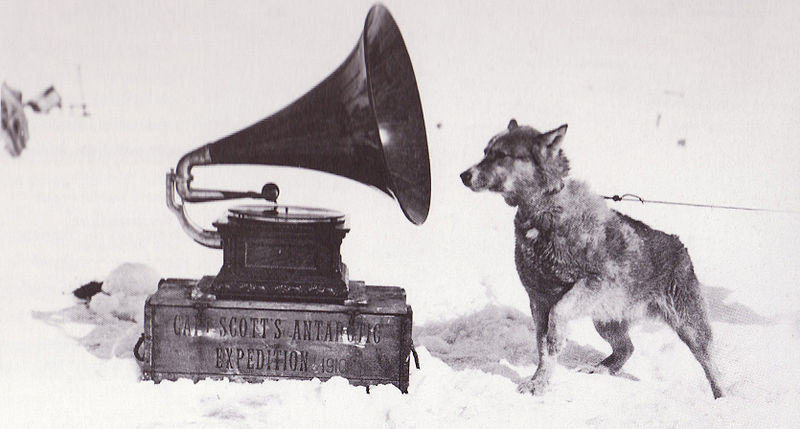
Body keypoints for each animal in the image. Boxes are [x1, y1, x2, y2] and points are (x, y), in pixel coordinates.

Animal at [460, 118, 720, 396]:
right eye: (486, 152)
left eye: (501, 155)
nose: (464, 175)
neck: (544, 212)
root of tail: (679, 245)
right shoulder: (538, 300)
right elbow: (543, 348)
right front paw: (539, 381)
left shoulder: (591, 283)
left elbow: (557, 319)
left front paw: (550, 358)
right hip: (605, 319)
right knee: (626, 348)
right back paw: (601, 369)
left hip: (690, 327)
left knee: (712, 365)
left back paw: (722, 397)